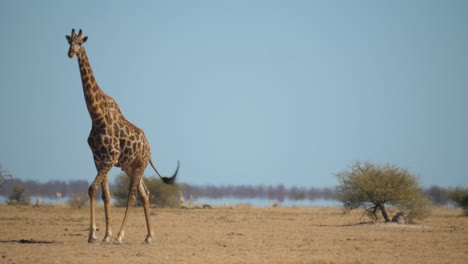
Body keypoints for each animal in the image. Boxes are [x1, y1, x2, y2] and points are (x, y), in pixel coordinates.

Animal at [64, 28, 177, 243]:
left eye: (81, 42)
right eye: (69, 41)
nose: (71, 53)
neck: (96, 116)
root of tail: (149, 148)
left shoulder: (110, 157)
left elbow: (92, 189)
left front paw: (98, 235)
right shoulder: (98, 159)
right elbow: (104, 195)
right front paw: (102, 235)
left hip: (139, 164)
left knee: (132, 195)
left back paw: (120, 236)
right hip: (129, 167)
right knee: (145, 193)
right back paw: (149, 236)